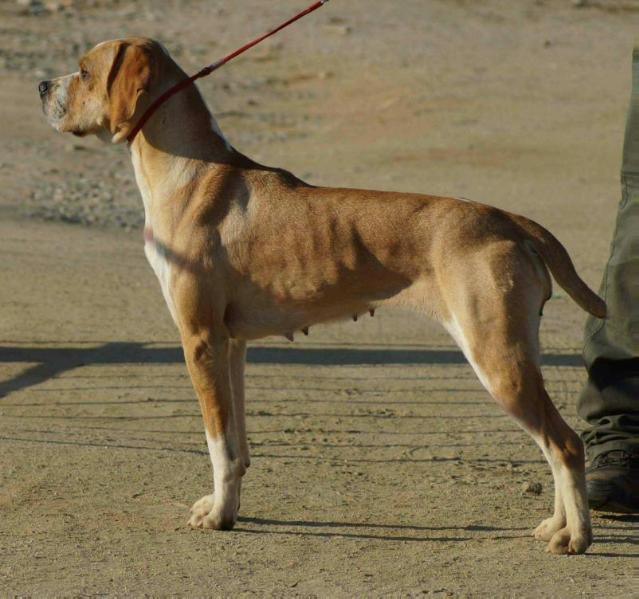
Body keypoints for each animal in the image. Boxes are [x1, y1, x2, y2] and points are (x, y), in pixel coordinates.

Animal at [37, 36, 608, 552]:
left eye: (84, 71)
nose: (42, 86)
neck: (188, 173)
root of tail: (508, 219)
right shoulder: (230, 345)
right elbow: (237, 446)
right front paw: (226, 506)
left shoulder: (198, 340)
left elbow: (217, 443)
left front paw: (219, 517)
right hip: (517, 355)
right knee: (554, 445)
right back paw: (554, 525)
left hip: (497, 358)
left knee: (566, 443)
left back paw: (576, 536)